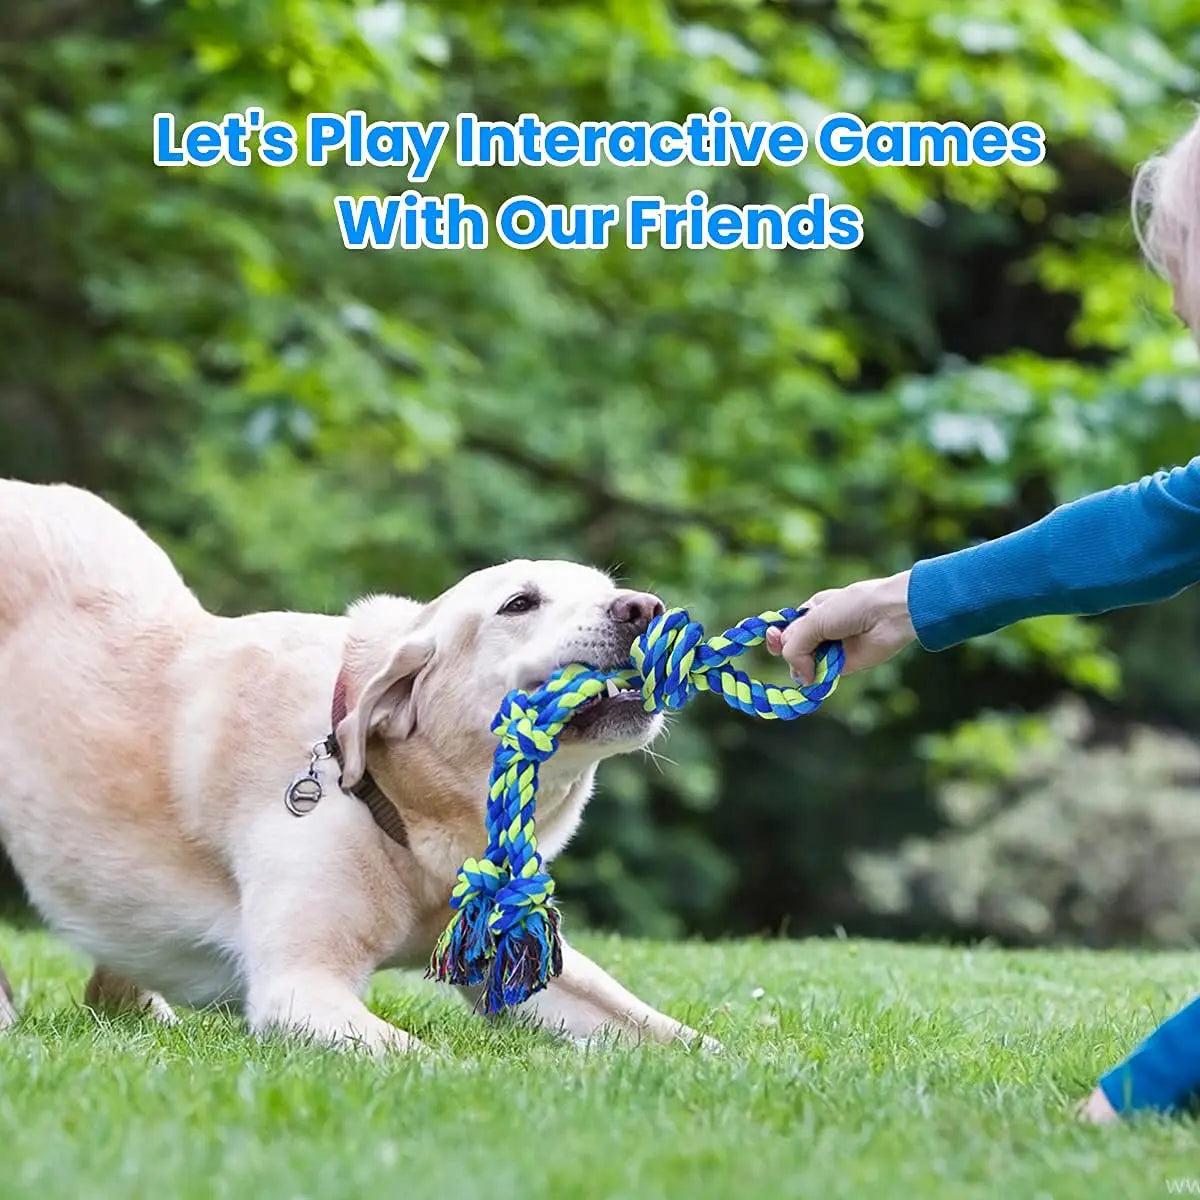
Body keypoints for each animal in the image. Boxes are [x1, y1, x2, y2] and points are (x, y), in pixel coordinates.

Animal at [0, 477, 705, 1051]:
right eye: (519, 604)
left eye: (610, 591)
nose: (644, 608)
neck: (398, 805)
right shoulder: (300, 987)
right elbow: (430, 1062)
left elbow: (672, 1035)